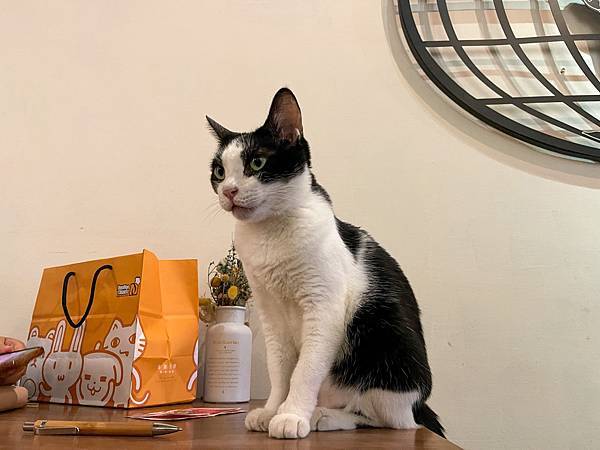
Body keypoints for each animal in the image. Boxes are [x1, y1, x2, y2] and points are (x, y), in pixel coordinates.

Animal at [206, 88, 444, 439]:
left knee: (390, 420)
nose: (229, 191)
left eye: (257, 162)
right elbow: (280, 369)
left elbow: (305, 369)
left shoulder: (324, 306)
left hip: (385, 342)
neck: (269, 235)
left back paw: (324, 416)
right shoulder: (270, 313)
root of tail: (420, 400)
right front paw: (272, 409)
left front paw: (291, 415)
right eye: (219, 172)